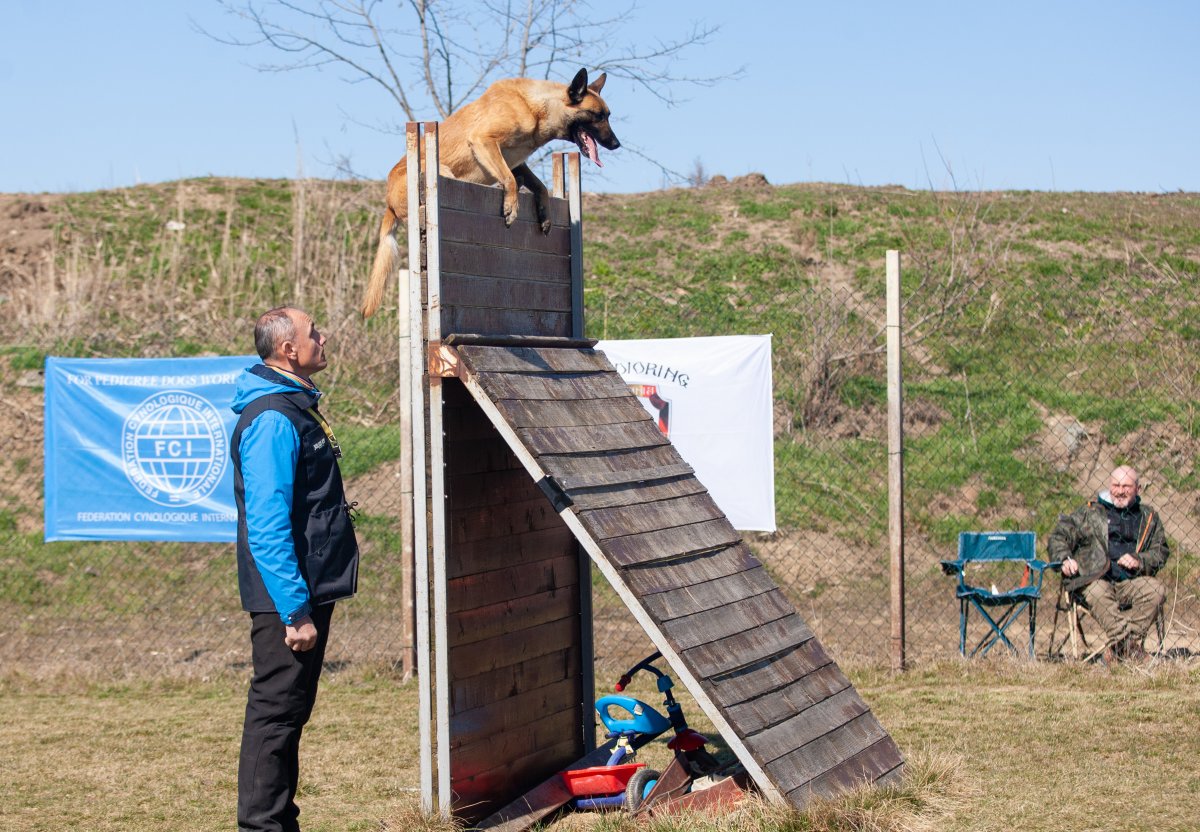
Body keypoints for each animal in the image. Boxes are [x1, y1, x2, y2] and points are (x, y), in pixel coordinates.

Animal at [357, 65, 619, 314]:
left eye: (608, 115)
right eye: (597, 116)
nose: (616, 144)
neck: (534, 107)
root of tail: (389, 204)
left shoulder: (516, 162)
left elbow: (540, 186)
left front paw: (544, 213)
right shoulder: (484, 140)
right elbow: (510, 180)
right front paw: (511, 207)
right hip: (442, 171)